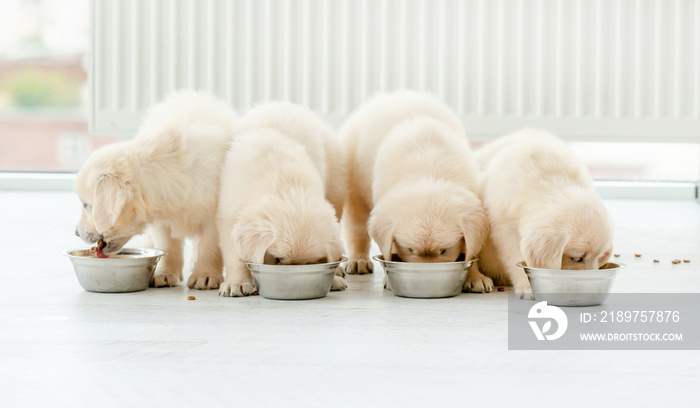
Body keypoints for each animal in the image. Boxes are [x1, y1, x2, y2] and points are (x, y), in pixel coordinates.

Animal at [74, 90, 238, 290]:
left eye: (85, 204)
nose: (76, 232)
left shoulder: (213, 215)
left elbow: (209, 246)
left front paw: (205, 275)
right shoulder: (160, 221)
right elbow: (167, 246)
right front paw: (164, 273)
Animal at [219, 102, 348, 296]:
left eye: (309, 262)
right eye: (277, 258)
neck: (287, 188)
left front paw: (333, 280)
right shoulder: (229, 215)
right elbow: (236, 255)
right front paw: (237, 283)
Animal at [340, 91, 492, 292]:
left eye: (444, 250)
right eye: (410, 250)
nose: (427, 280)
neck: (428, 172)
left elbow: (472, 251)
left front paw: (475, 277)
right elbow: (388, 250)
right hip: (355, 184)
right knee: (356, 227)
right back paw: (358, 260)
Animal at [476, 129, 612, 298]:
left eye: (598, 256)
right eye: (577, 258)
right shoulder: (504, 229)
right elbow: (517, 258)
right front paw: (528, 286)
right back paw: (476, 279)